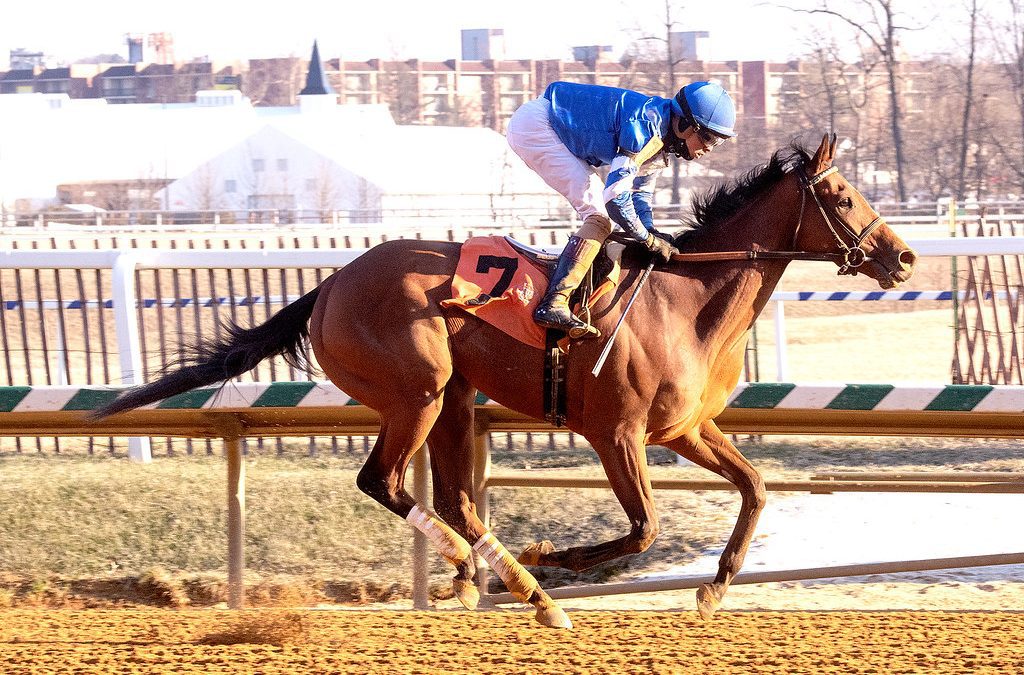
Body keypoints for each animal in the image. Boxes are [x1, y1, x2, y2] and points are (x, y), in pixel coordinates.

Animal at [94, 134, 916, 629]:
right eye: (843, 196)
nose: (904, 257)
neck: (683, 302)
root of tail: (328, 285)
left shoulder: (685, 427)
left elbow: (754, 486)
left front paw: (713, 586)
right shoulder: (615, 433)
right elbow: (645, 527)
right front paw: (558, 553)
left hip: (454, 399)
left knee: (455, 495)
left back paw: (523, 590)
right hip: (418, 392)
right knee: (383, 481)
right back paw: (493, 573)